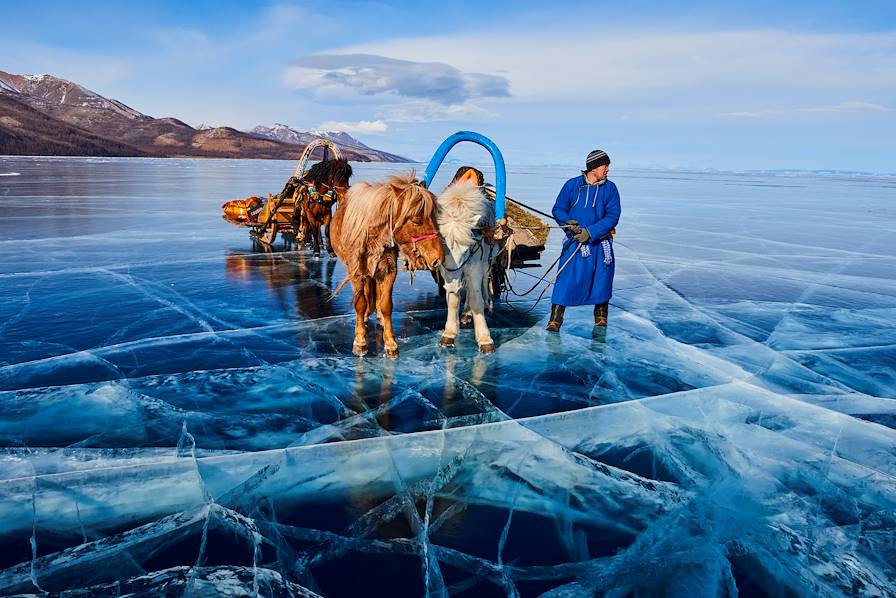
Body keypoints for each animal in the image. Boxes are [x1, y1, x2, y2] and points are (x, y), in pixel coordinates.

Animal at [328, 173, 444, 360]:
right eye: (416, 221)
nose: (437, 258)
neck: (373, 236)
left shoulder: (389, 271)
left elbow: (386, 304)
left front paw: (390, 343)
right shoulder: (357, 273)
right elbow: (360, 303)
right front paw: (360, 341)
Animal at [436, 180, 496, 354]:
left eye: (466, 249)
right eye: (443, 250)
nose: (452, 285)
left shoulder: (475, 265)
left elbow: (477, 301)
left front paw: (485, 339)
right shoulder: (447, 272)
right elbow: (453, 300)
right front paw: (449, 333)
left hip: (487, 263)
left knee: (481, 284)